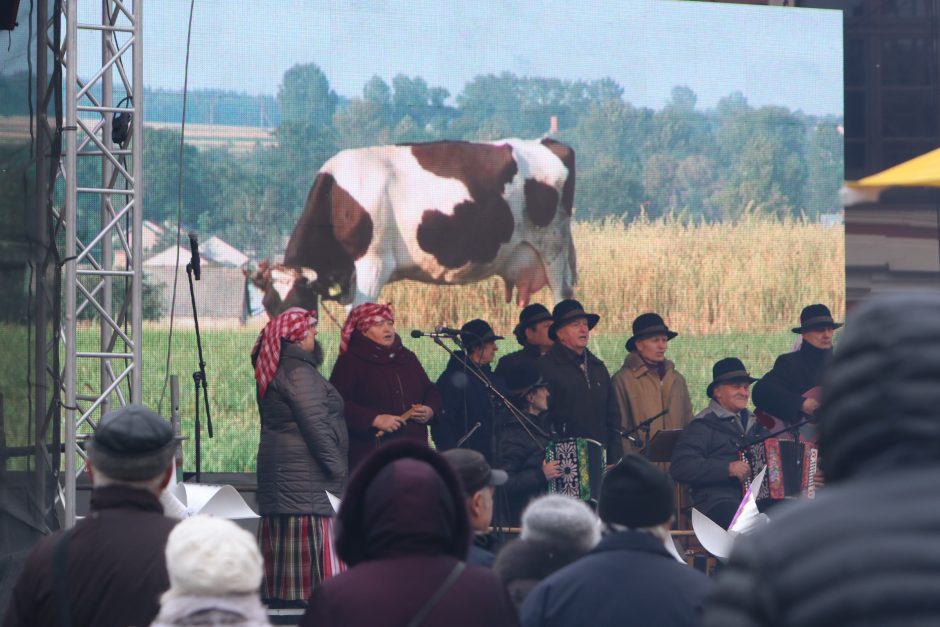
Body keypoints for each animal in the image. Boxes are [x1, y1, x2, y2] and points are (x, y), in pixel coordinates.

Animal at [255, 137, 572, 314]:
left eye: (301, 303)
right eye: (268, 306)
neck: (338, 195)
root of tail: (547, 143)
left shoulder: (374, 265)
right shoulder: (350, 277)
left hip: (553, 249)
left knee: (562, 297)